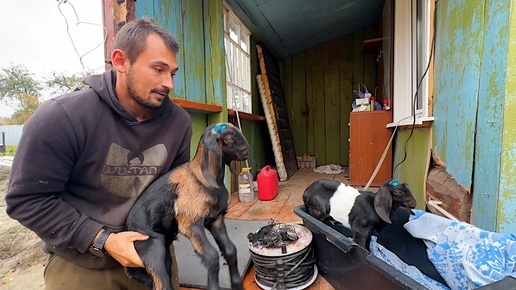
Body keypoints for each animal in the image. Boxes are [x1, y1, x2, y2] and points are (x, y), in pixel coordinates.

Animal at [125, 123, 250, 290]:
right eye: (229, 139)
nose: (247, 152)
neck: (202, 178)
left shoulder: (215, 220)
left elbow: (230, 250)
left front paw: (237, 284)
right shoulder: (190, 223)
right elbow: (212, 256)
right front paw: (213, 286)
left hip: (164, 257)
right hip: (152, 247)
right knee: (162, 283)